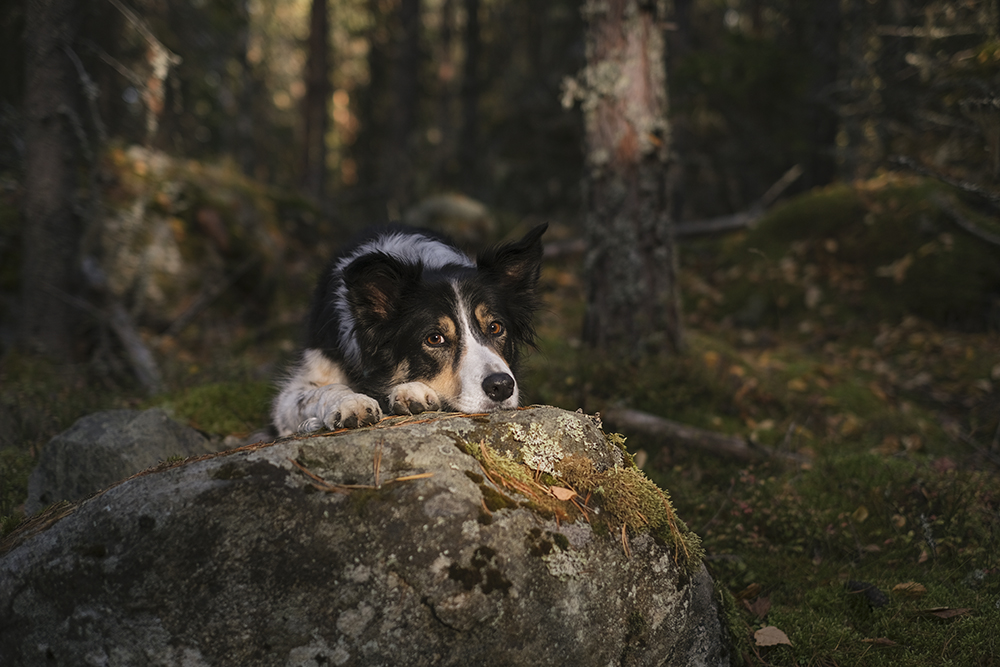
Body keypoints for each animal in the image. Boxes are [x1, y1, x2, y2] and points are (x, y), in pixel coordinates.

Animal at [274, 222, 548, 436]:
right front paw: (350, 401)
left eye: (495, 327)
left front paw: (411, 391)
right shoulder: (290, 396)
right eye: (435, 338)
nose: (501, 386)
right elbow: (322, 391)